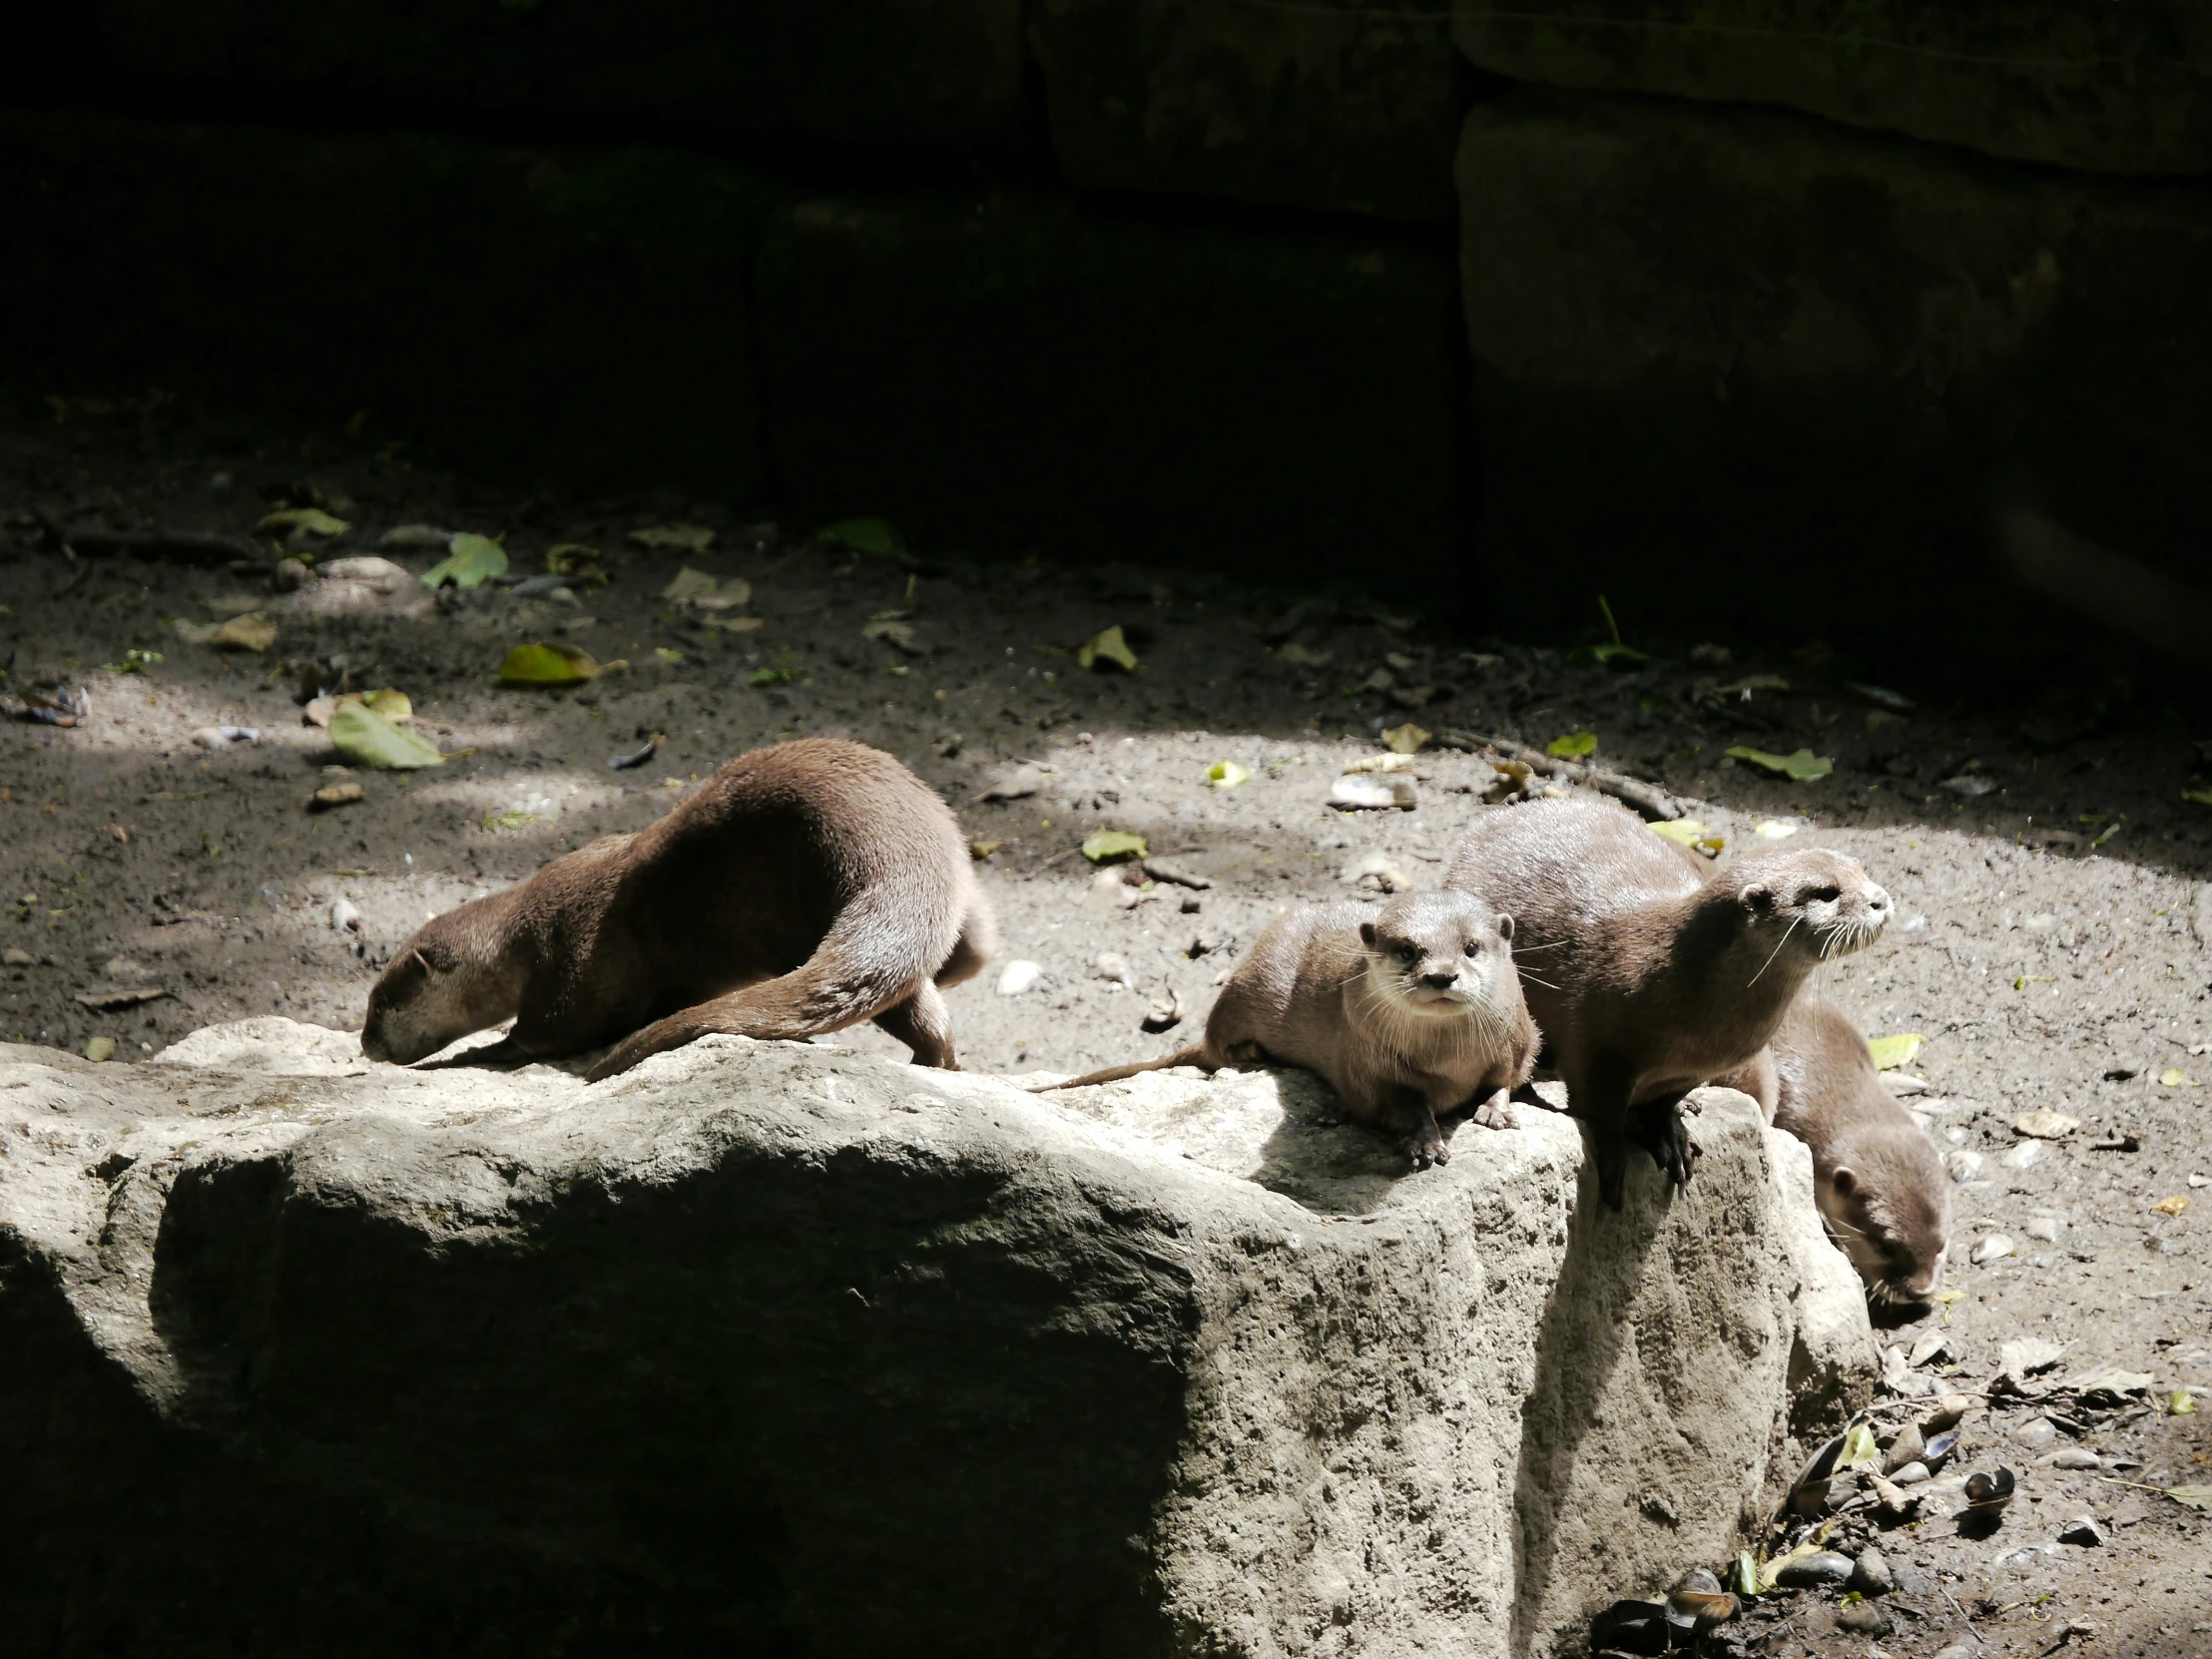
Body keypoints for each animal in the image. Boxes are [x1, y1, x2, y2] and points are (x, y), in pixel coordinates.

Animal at [360, 739, 995, 1079]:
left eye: (380, 1004)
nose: (365, 1044)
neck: (523, 936)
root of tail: (899, 845)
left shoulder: (571, 964)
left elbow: (543, 1036)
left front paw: (477, 1054)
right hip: (963, 905)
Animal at [1035, 888, 1539, 1176]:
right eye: (1407, 951)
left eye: (1471, 947)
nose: (1441, 976)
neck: (1447, 1061)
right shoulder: (1367, 1066)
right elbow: (1399, 1102)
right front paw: (1424, 1141)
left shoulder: (1519, 1040)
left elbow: (1506, 1079)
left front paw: (1495, 1111)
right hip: (1248, 985)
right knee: (1217, 1038)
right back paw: (1250, 1052)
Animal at [1441, 796, 1893, 1212]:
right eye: (1826, 892)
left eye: (1862, 871)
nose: (1881, 899)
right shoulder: (1598, 1049)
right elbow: (1599, 1111)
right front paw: (1614, 1162)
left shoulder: (1695, 1068)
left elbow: (1665, 1101)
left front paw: (1671, 1134)